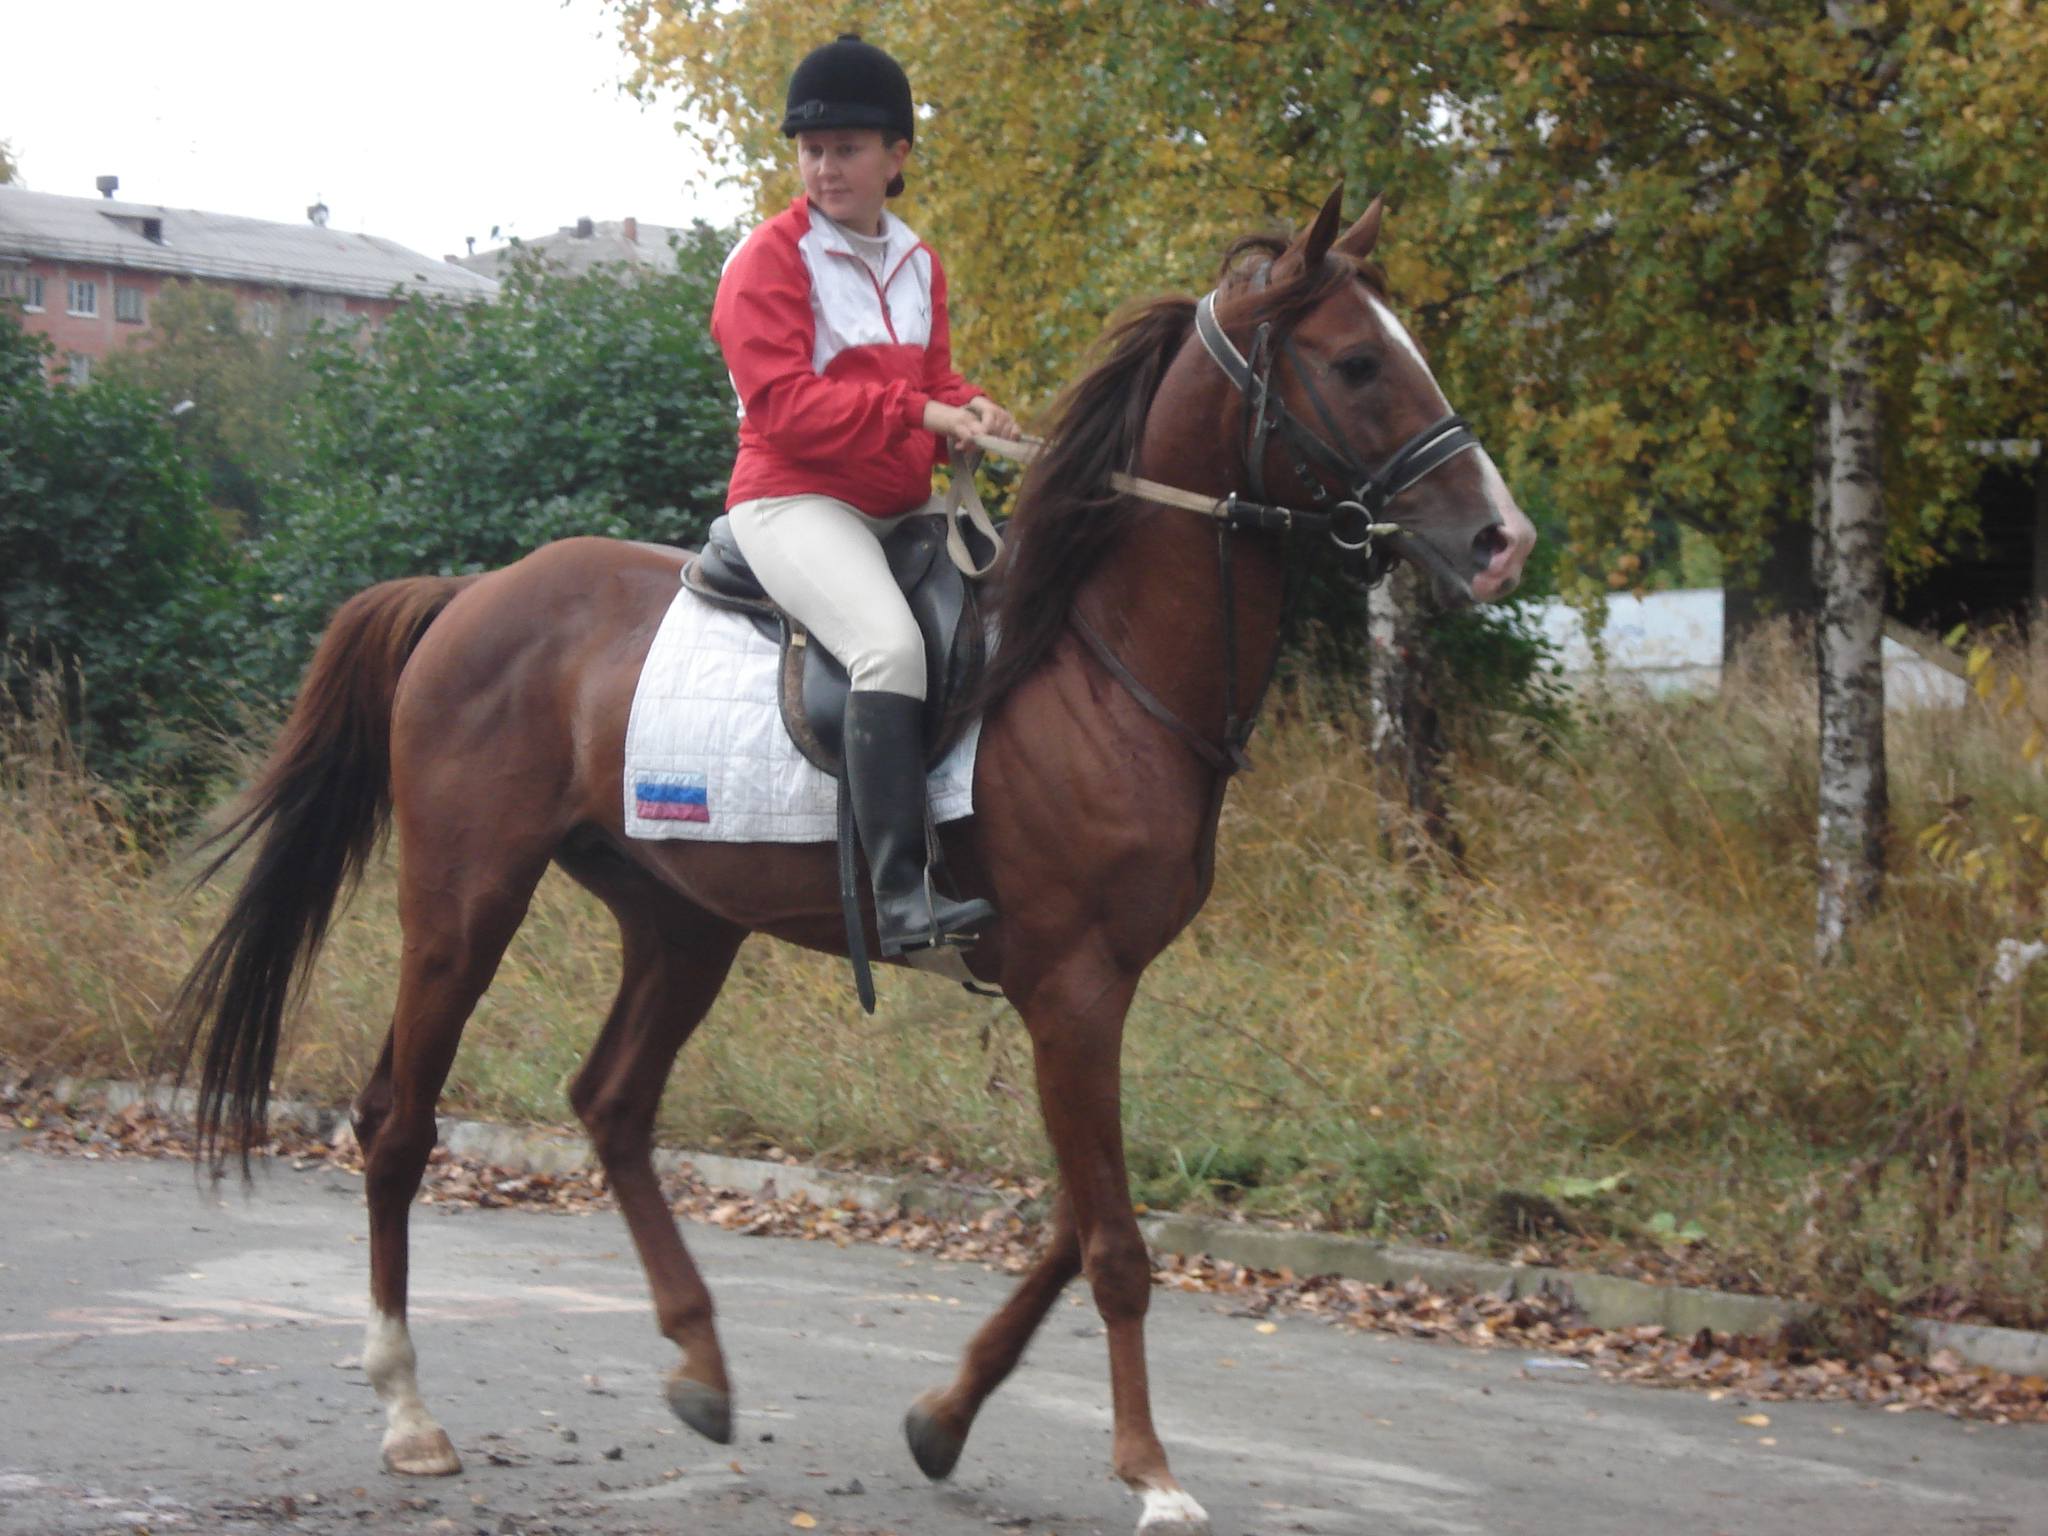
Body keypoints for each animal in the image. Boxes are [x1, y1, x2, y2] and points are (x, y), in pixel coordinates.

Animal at [172, 192, 1523, 1536]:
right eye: (1355, 364)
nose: (1497, 540)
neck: (1094, 660)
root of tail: (469, 596)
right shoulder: (1073, 990)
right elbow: (1112, 1246)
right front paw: (1150, 1473)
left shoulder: (1090, 993)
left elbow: (1075, 1217)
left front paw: (942, 1419)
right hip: (466, 902)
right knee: (398, 1123)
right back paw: (410, 1413)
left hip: (680, 922)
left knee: (611, 1104)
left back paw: (701, 1368)